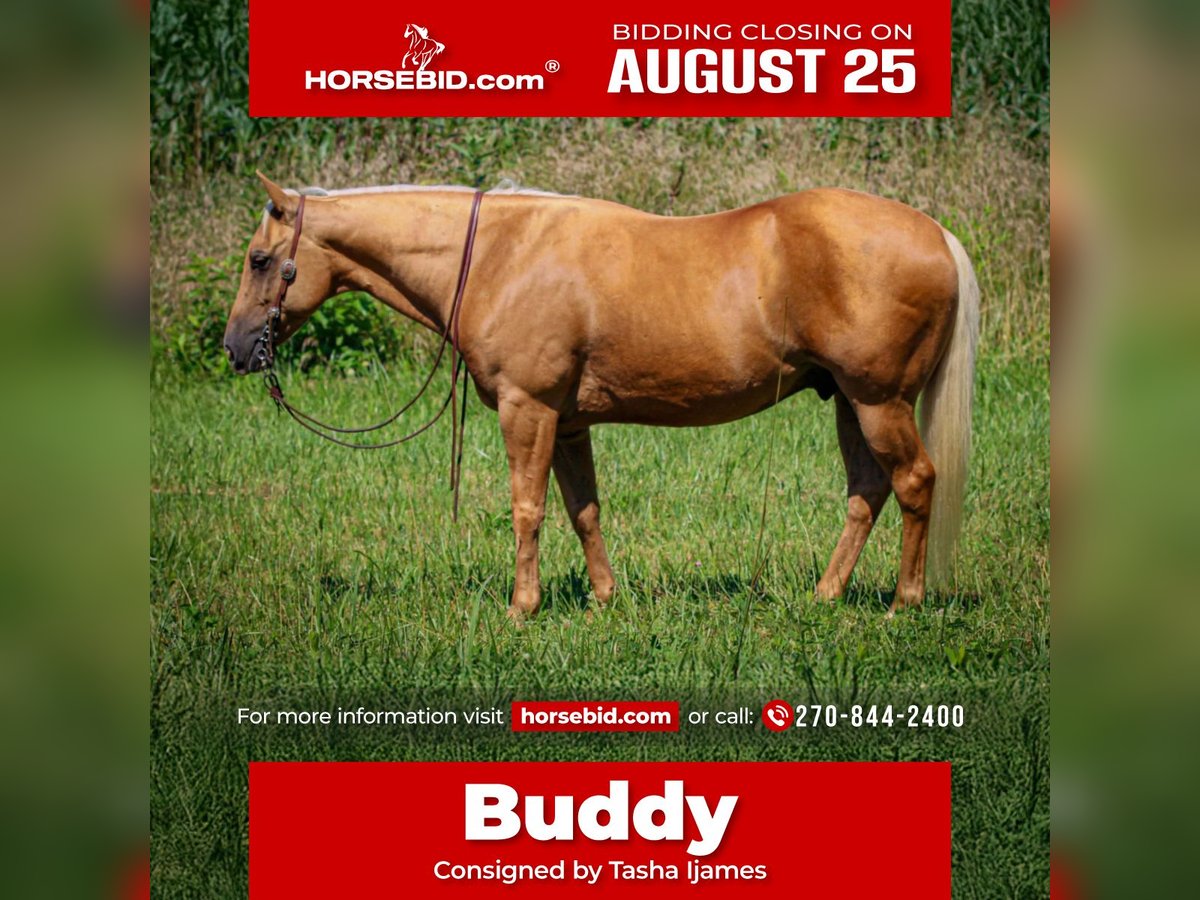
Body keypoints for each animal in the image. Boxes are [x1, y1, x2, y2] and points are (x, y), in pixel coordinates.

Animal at [224, 173, 979, 619]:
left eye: (261, 260)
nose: (235, 348)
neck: (500, 252)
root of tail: (937, 234)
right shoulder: (567, 423)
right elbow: (582, 510)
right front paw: (605, 598)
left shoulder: (528, 409)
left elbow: (527, 509)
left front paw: (522, 608)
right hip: (849, 401)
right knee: (866, 492)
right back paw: (825, 596)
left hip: (879, 400)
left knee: (914, 481)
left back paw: (905, 602)